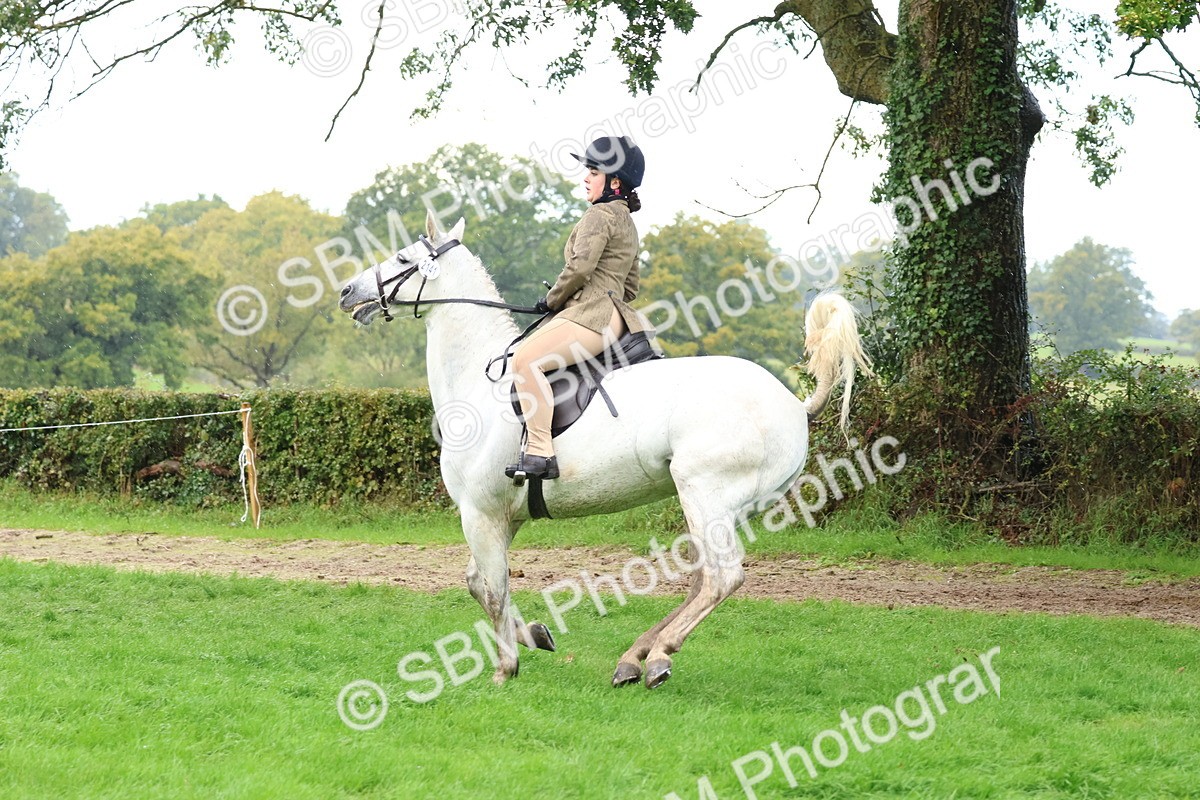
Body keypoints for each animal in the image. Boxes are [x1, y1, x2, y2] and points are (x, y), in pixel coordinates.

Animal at [337, 211, 872, 689]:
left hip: (705, 492)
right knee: (703, 579)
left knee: (722, 578)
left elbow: (491, 589)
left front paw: (505, 667)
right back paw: (636, 658)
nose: (347, 292)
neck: (476, 383)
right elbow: (480, 582)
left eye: (403, 257)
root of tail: (794, 405)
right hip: (718, 504)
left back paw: (655, 657)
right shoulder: (502, 515)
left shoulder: (480, 512)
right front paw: (536, 635)